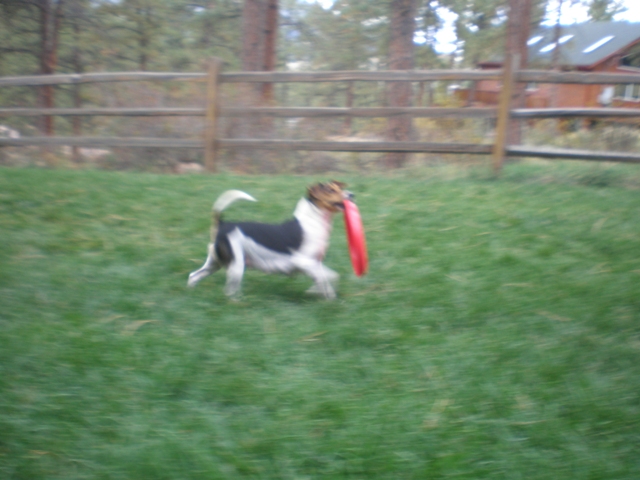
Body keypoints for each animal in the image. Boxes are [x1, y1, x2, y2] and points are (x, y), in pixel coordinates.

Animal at [188, 182, 352, 298]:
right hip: (236, 266)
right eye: (330, 190)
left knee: (193, 276)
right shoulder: (304, 262)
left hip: (214, 263)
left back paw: (191, 293)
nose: (351, 194)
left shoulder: (315, 264)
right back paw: (237, 302)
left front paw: (316, 292)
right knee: (229, 291)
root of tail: (222, 224)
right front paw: (326, 296)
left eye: (339, 188)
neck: (313, 221)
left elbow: (330, 277)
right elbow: (325, 279)